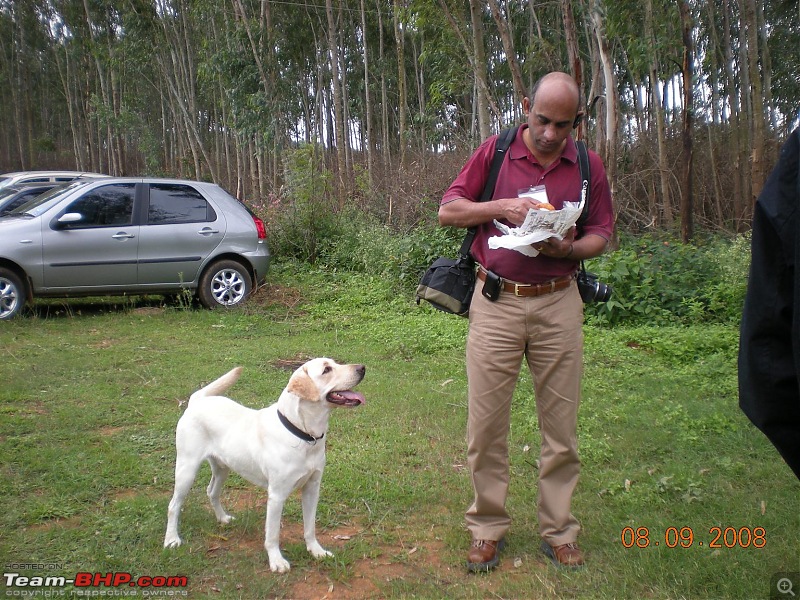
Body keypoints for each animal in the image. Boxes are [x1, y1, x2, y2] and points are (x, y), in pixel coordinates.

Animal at [164, 356, 368, 572]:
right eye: (327, 370)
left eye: (335, 362)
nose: (362, 368)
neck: (303, 434)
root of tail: (197, 401)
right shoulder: (277, 495)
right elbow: (272, 534)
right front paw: (276, 561)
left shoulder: (312, 488)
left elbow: (310, 527)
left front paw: (316, 551)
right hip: (187, 469)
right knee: (173, 505)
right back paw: (171, 539)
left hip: (222, 468)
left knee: (211, 492)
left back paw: (223, 518)